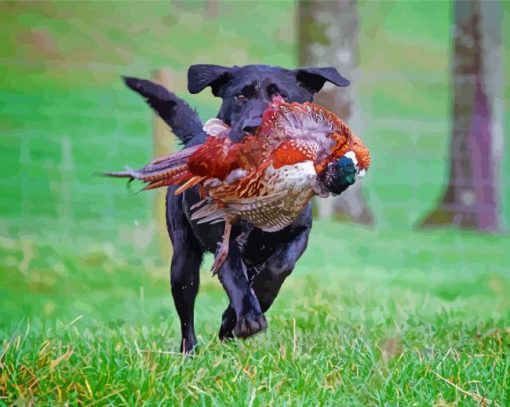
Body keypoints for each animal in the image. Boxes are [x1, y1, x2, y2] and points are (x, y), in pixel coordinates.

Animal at [123, 64, 350, 354]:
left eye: (281, 96)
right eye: (240, 96)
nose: (253, 127)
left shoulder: (298, 233)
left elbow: (279, 268)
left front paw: (240, 315)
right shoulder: (223, 237)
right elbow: (235, 277)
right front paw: (248, 319)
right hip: (183, 259)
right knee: (186, 308)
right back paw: (190, 353)